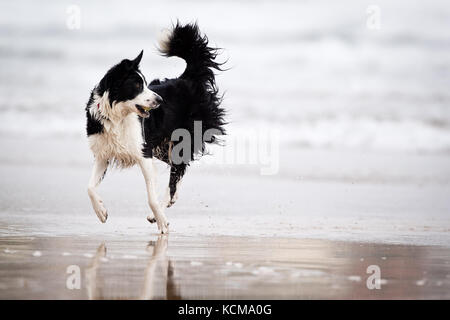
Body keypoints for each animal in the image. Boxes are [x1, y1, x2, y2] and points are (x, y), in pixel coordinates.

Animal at [84, 22, 225, 232]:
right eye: (137, 85)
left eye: (145, 83)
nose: (160, 100)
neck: (117, 117)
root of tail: (187, 79)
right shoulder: (103, 153)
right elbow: (90, 187)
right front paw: (101, 212)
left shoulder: (144, 154)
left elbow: (151, 197)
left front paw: (162, 223)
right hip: (162, 147)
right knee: (179, 172)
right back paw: (169, 201)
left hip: (181, 140)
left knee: (177, 172)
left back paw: (158, 211)